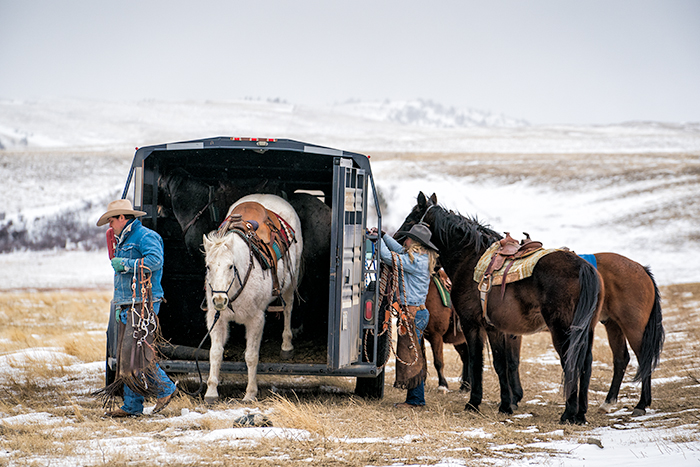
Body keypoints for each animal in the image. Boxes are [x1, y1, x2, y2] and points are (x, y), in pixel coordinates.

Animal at [201, 194, 302, 402]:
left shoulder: (256, 320)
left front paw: (250, 394)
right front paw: (211, 392)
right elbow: (215, 352)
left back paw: (286, 345)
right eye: (208, 266)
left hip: (292, 281)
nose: (219, 301)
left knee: (288, 308)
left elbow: (251, 356)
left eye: (231, 266)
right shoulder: (216, 318)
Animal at [396, 192, 604, 426]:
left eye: (410, 220)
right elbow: (503, 363)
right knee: (586, 364)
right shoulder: (499, 329)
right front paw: (507, 404)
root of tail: (584, 267)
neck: (469, 258)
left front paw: (475, 403)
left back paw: (568, 413)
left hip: (562, 330)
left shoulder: (474, 326)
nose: (395, 239)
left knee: (571, 363)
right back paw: (581, 413)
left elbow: (481, 362)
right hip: (587, 331)